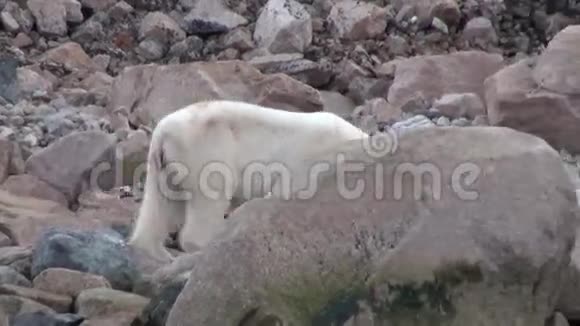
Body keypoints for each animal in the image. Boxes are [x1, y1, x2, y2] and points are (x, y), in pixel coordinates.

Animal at [129, 100, 370, 262]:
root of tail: (162, 133)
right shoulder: (312, 160)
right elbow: (288, 189)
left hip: (162, 165)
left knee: (161, 202)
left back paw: (158, 253)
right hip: (207, 147)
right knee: (211, 195)